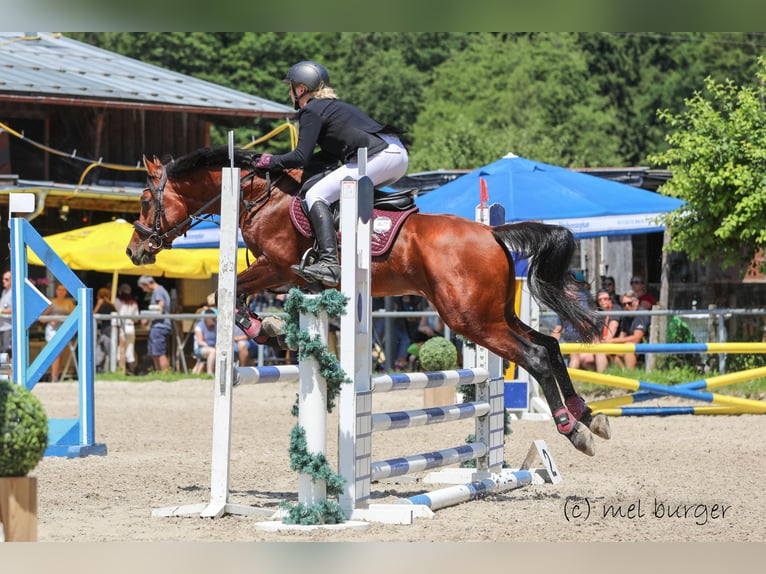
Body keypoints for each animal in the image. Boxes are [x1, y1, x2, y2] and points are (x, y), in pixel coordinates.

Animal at [126, 146, 611, 456]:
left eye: (146, 199)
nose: (134, 251)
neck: (260, 198)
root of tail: (491, 232)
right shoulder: (285, 274)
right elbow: (236, 293)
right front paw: (272, 328)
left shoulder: (278, 267)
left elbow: (229, 291)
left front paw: (264, 327)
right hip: (495, 314)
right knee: (551, 345)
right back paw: (589, 415)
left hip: (471, 320)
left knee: (535, 356)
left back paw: (572, 430)